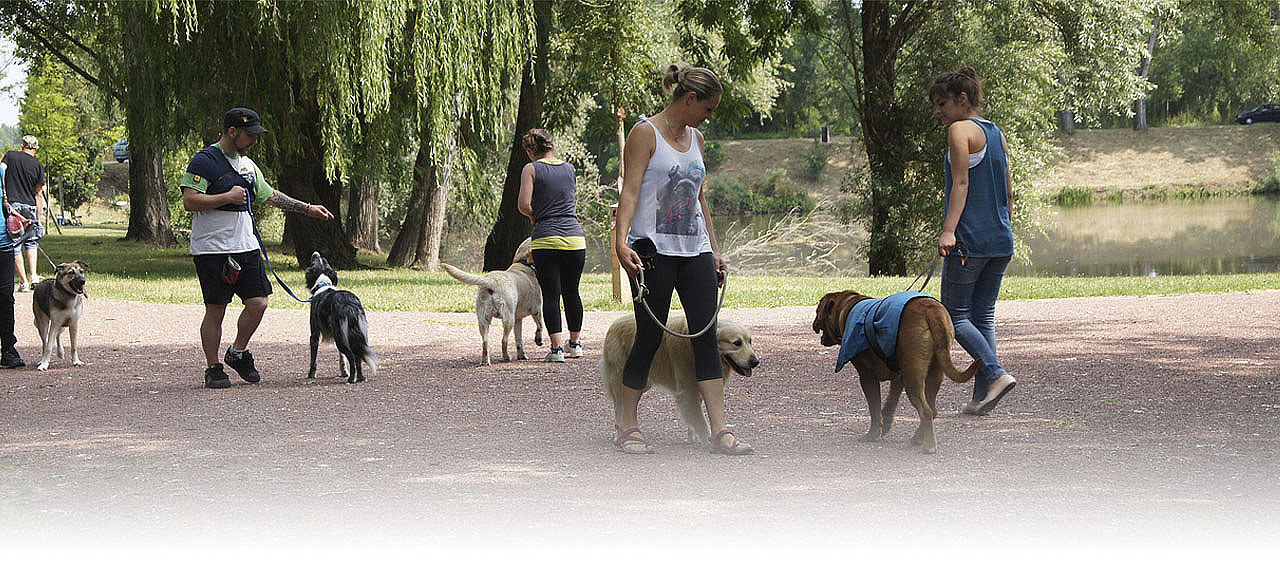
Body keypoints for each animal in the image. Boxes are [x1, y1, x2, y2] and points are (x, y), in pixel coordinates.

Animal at [303, 249, 373, 379]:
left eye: (314, 262)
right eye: (324, 260)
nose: (316, 252)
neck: (323, 283)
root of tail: (348, 305)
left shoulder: (314, 334)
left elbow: (313, 359)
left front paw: (311, 374)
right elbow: (342, 357)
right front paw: (344, 371)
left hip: (340, 337)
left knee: (352, 356)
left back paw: (352, 378)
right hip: (355, 334)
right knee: (358, 356)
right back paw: (360, 377)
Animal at [601, 315, 757, 443]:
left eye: (750, 341)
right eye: (737, 343)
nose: (756, 361)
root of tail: (614, 324)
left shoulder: (696, 390)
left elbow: (695, 416)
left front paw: (694, 438)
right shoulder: (688, 391)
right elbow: (700, 420)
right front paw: (709, 440)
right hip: (620, 380)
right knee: (619, 408)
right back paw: (621, 435)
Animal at [808, 288, 977, 453]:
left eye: (817, 311)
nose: (813, 324)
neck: (846, 307)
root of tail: (930, 309)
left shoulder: (867, 377)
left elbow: (874, 410)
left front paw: (872, 434)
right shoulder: (898, 376)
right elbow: (889, 403)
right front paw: (885, 425)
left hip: (913, 377)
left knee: (926, 411)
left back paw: (928, 446)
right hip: (934, 371)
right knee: (932, 409)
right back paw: (917, 438)